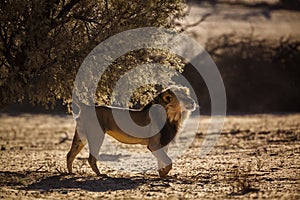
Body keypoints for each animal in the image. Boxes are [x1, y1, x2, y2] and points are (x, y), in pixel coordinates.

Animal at [66, 85, 196, 177]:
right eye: (182, 97)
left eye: (187, 95)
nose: (193, 102)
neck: (173, 116)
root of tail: (86, 106)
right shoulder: (154, 145)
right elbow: (169, 162)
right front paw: (163, 173)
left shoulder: (163, 143)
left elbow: (162, 161)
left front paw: (161, 174)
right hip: (97, 135)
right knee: (91, 158)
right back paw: (101, 174)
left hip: (81, 136)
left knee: (69, 154)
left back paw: (71, 173)